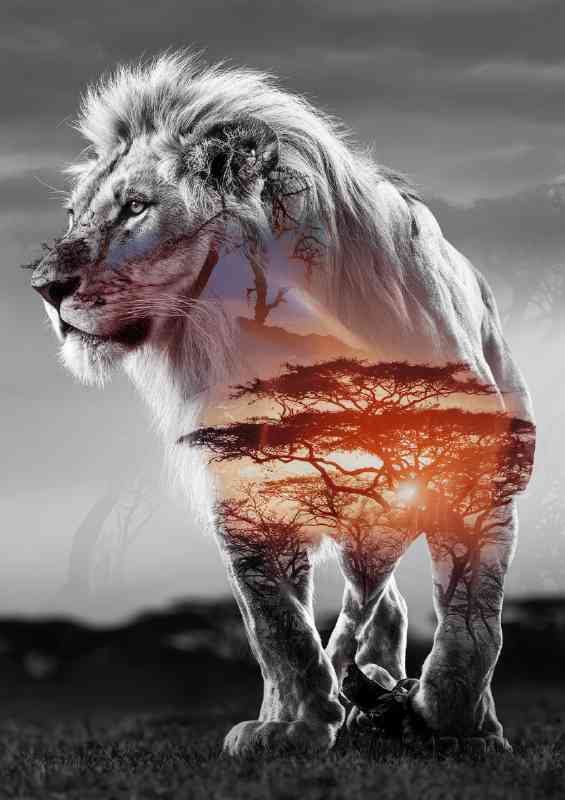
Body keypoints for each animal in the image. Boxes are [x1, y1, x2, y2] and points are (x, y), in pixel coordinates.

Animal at [30, 52, 535, 756]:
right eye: (76, 213)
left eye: (135, 206)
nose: (45, 287)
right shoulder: (245, 488)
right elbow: (275, 621)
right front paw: (294, 724)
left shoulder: (472, 473)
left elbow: (473, 618)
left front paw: (454, 725)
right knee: (377, 602)